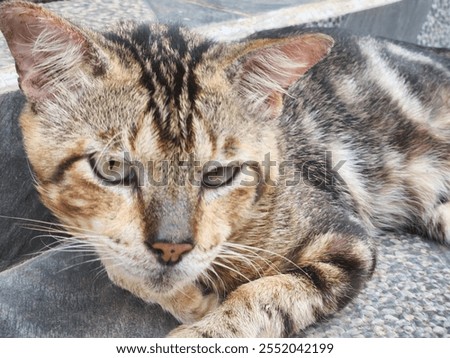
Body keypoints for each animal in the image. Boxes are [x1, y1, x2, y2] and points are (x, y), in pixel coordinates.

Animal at [0, 0, 450, 338]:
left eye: (219, 174)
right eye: (112, 167)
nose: (172, 247)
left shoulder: (346, 238)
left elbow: (264, 297)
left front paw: (203, 325)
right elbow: (121, 266)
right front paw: (188, 297)